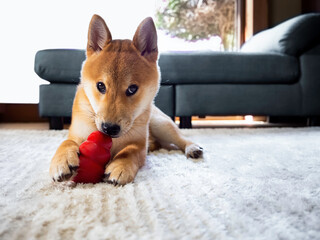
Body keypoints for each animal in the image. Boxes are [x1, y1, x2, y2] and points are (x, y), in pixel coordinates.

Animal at [49, 14, 202, 185]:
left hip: (160, 124)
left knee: (180, 138)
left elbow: (130, 151)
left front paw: (120, 166)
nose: (109, 128)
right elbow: (67, 142)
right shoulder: (77, 133)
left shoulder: (139, 144)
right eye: (101, 86)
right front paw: (62, 160)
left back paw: (192, 148)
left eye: (132, 89)